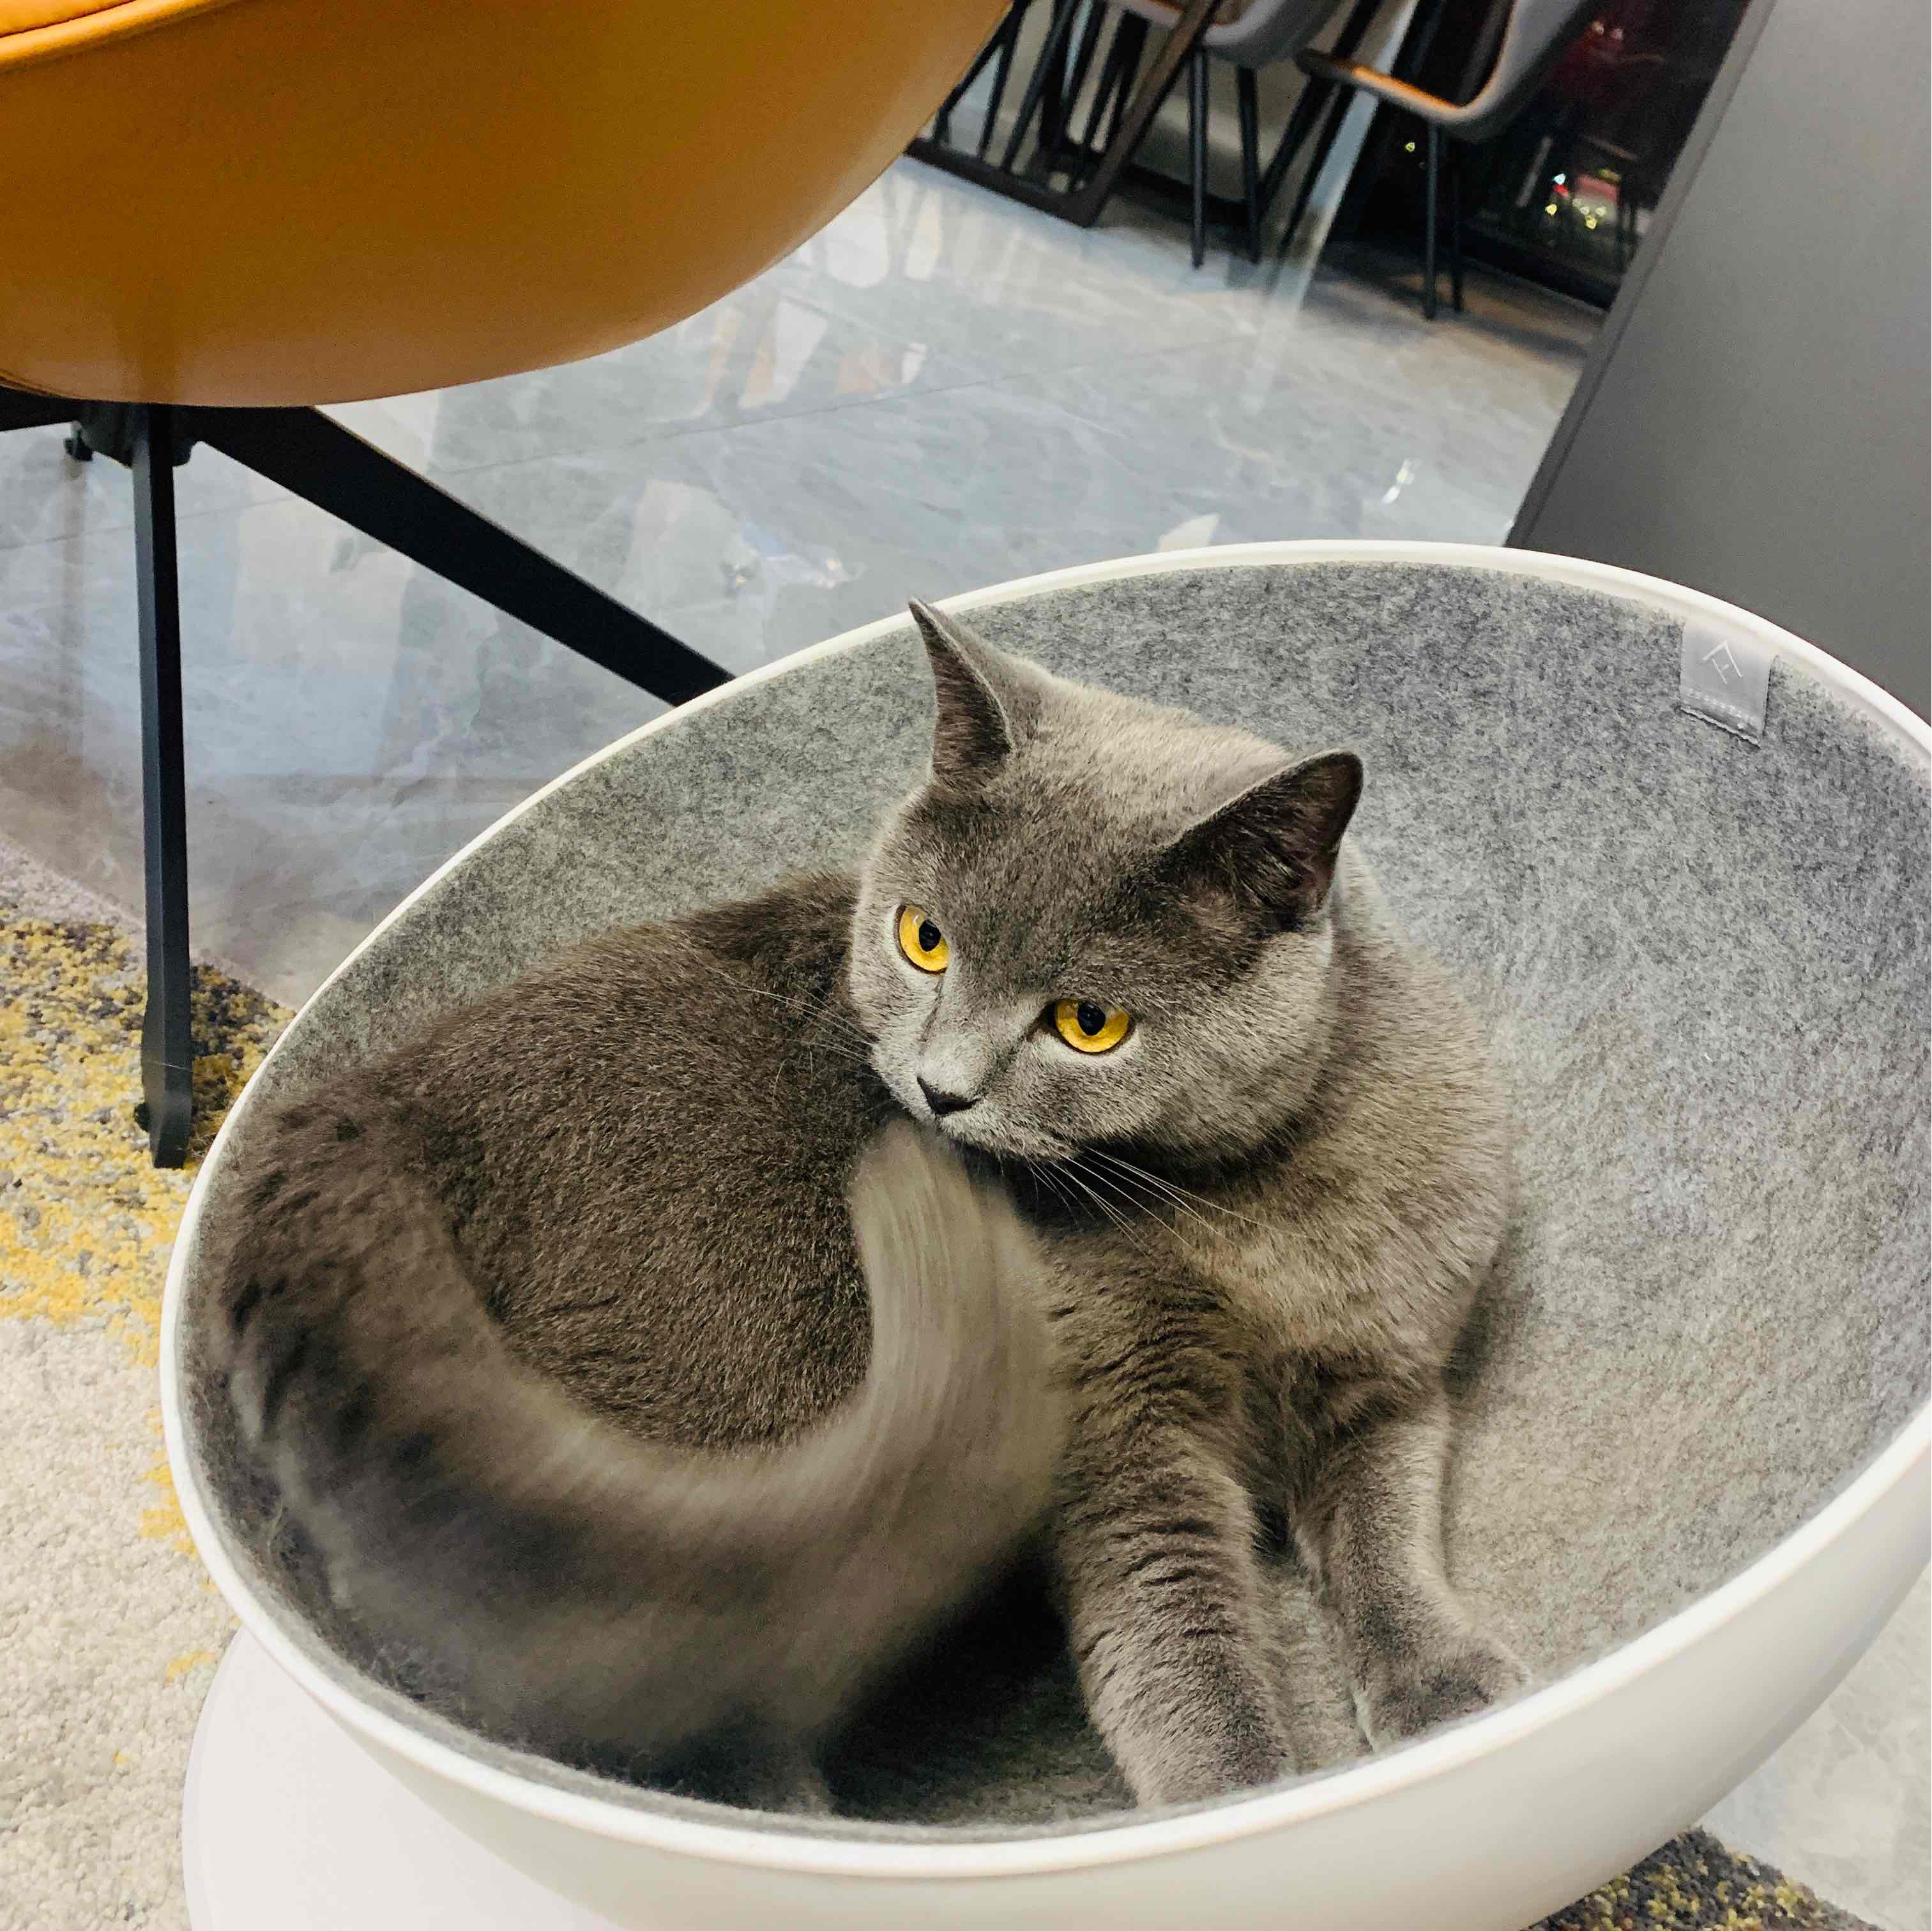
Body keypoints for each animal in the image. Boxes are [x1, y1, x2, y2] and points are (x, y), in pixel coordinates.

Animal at [206, 597, 1524, 1813]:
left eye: (1089, 1023)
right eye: (923, 940)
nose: (939, 1090)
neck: (1252, 1201)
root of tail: (363, 1096)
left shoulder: (1389, 1371)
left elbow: (1386, 1528)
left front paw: (1441, 1685)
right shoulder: (1116, 1434)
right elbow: (1176, 1637)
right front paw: (1239, 1799)